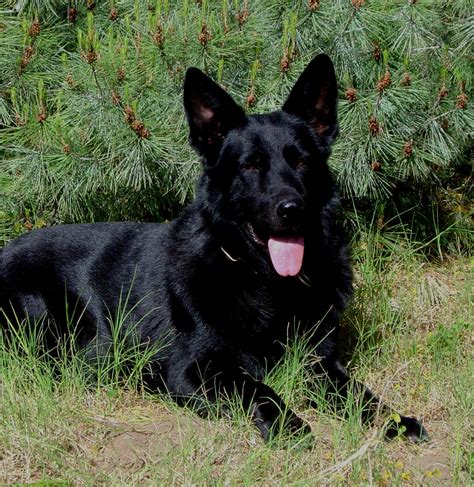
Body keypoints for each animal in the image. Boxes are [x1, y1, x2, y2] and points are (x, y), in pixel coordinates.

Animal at [0, 55, 430, 444]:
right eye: (251, 165)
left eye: (302, 161)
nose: (291, 209)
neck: (265, 280)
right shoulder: (191, 369)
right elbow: (257, 388)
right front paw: (288, 424)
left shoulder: (320, 363)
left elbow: (359, 393)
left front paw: (396, 421)